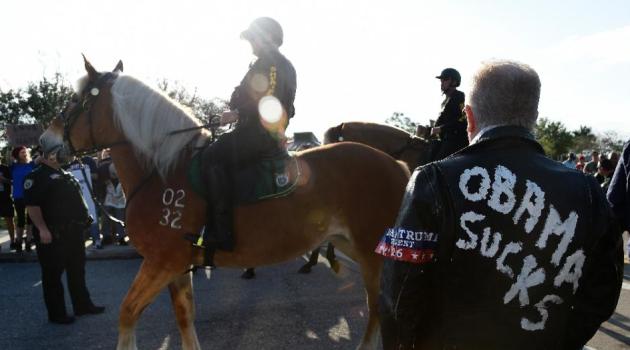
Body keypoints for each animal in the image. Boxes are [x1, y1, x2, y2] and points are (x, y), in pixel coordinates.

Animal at [42, 58, 412, 348]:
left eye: (75, 99)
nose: (45, 142)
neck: (162, 171)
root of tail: (397, 165)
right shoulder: (175, 267)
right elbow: (184, 318)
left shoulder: (161, 262)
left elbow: (127, 312)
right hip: (351, 245)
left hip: (371, 253)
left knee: (380, 307)